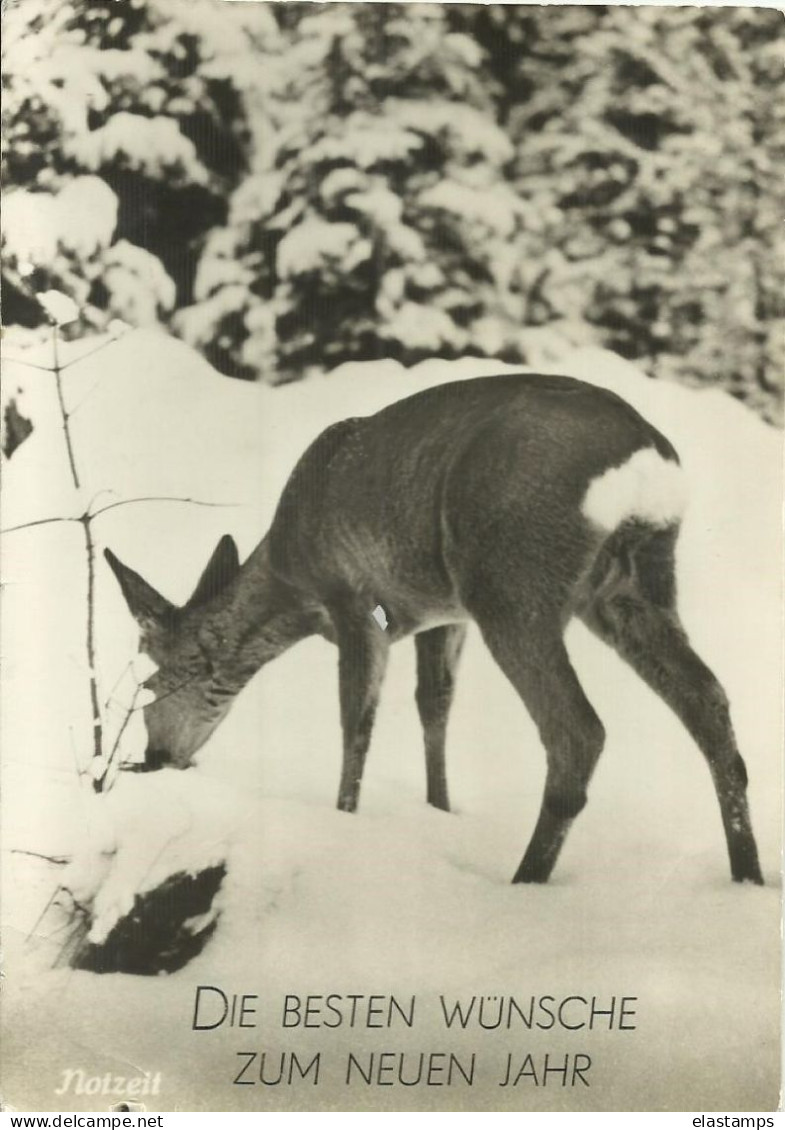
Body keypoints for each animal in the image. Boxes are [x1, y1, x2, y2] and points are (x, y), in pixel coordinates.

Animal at [104, 370, 763, 881]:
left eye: (149, 683)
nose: (155, 757)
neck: (291, 582)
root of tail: (647, 460)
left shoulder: (352, 599)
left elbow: (357, 722)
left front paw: (344, 821)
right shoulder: (438, 612)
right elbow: (434, 705)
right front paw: (439, 811)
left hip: (513, 578)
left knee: (579, 729)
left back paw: (526, 880)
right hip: (633, 585)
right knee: (708, 702)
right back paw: (747, 875)